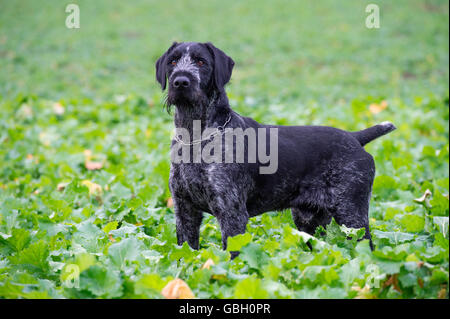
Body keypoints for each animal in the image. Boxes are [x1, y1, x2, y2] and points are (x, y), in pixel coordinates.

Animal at [156, 42, 396, 258]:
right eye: (173, 62)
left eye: (201, 62)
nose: (180, 81)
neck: (194, 135)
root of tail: (355, 137)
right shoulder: (184, 212)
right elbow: (184, 253)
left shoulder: (232, 213)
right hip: (309, 221)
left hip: (352, 216)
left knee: (367, 248)